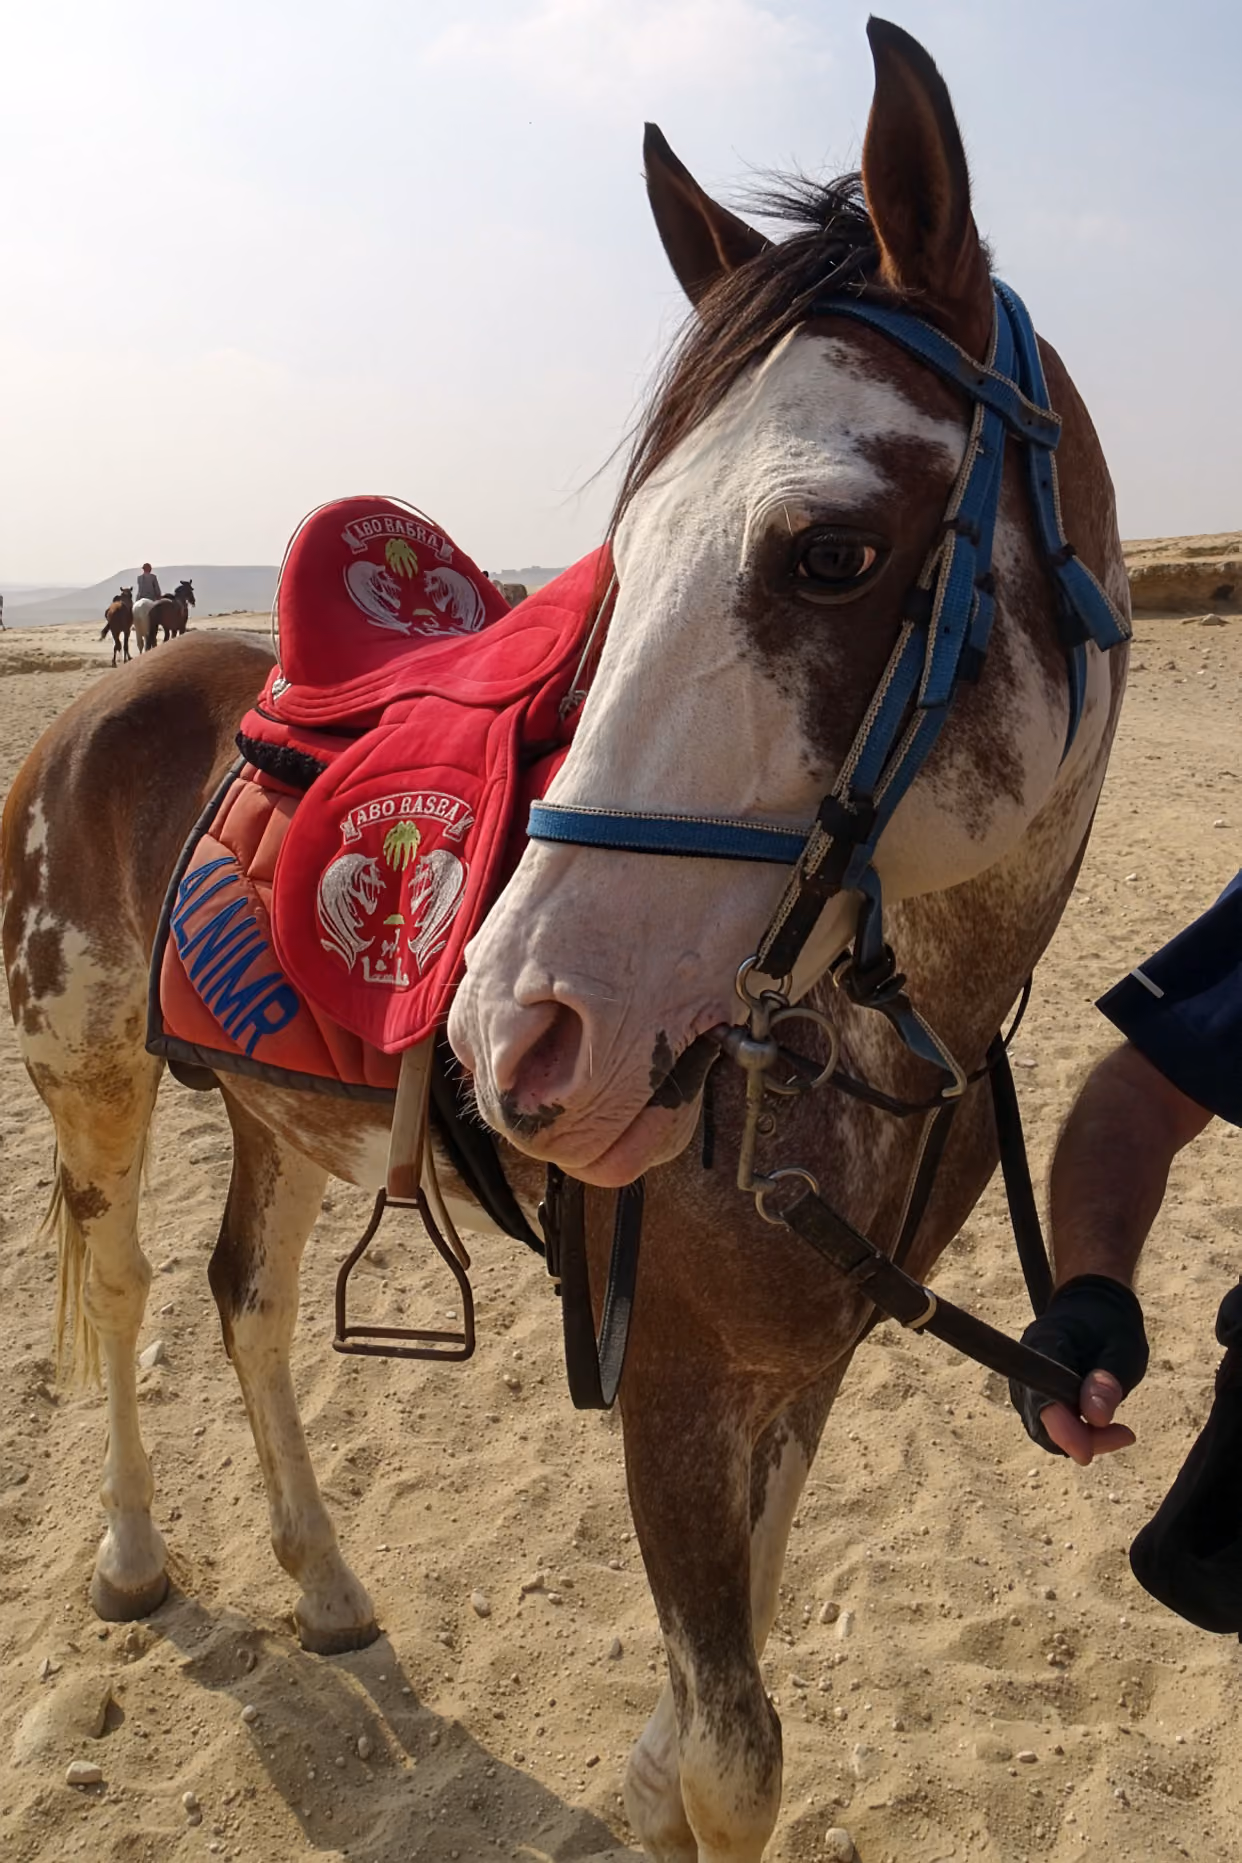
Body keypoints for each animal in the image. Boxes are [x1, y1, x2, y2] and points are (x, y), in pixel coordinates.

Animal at [1, 22, 1129, 1861]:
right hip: (90, 1079)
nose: (509, 1031)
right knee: (121, 1283)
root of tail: (111, 694)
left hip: (278, 1113)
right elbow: (732, 1752)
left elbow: (714, 1699)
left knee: (247, 1300)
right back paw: (133, 1554)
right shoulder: (671, 1369)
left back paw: (325, 1583)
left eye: (831, 549)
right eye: (626, 548)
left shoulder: (790, 1373)